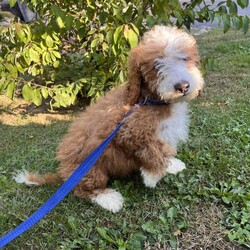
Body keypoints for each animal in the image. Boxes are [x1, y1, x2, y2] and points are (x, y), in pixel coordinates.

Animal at [14, 25, 204, 213]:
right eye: (157, 65)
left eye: (184, 58)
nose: (183, 86)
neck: (149, 99)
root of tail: (63, 174)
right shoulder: (129, 132)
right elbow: (152, 151)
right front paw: (152, 175)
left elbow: (164, 151)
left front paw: (172, 165)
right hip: (91, 169)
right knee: (84, 190)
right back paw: (109, 199)